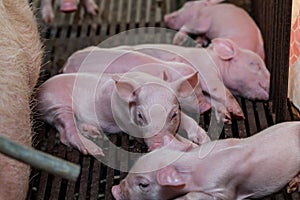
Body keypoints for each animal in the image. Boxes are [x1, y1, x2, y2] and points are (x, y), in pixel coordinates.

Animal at [34, 72, 211, 155]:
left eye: (173, 115)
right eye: (140, 115)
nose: (157, 145)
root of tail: (39, 91)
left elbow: (188, 120)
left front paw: (204, 140)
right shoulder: (131, 127)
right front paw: (191, 145)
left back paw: (95, 133)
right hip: (58, 103)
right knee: (67, 133)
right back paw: (96, 150)